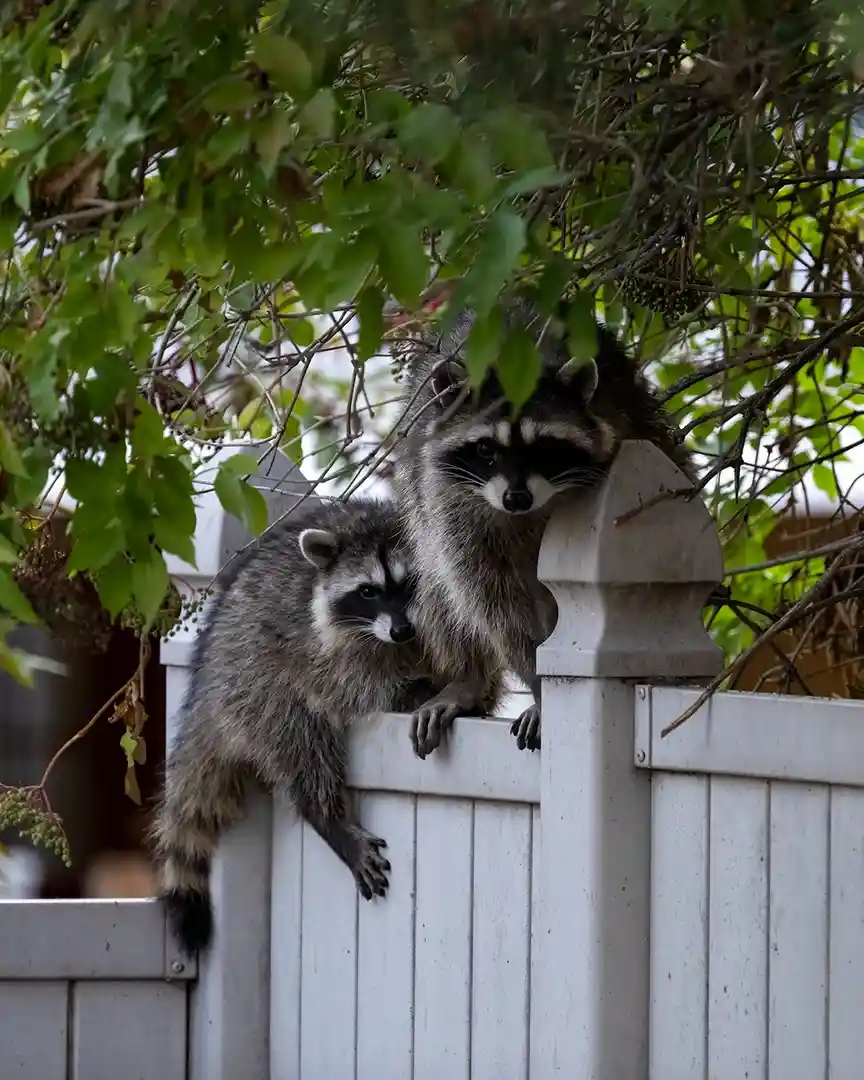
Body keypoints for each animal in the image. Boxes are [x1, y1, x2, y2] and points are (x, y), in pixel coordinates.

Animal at [151, 497, 444, 956]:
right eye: (368, 591)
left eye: (410, 581)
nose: (401, 630)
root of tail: (210, 678)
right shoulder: (324, 649)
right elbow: (359, 688)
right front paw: (411, 691)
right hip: (259, 678)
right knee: (300, 739)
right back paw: (323, 812)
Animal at [396, 301, 695, 756]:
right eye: (485, 449)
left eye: (543, 448)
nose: (516, 498)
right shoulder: (453, 505)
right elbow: (494, 602)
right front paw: (538, 684)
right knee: (438, 585)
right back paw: (467, 676)